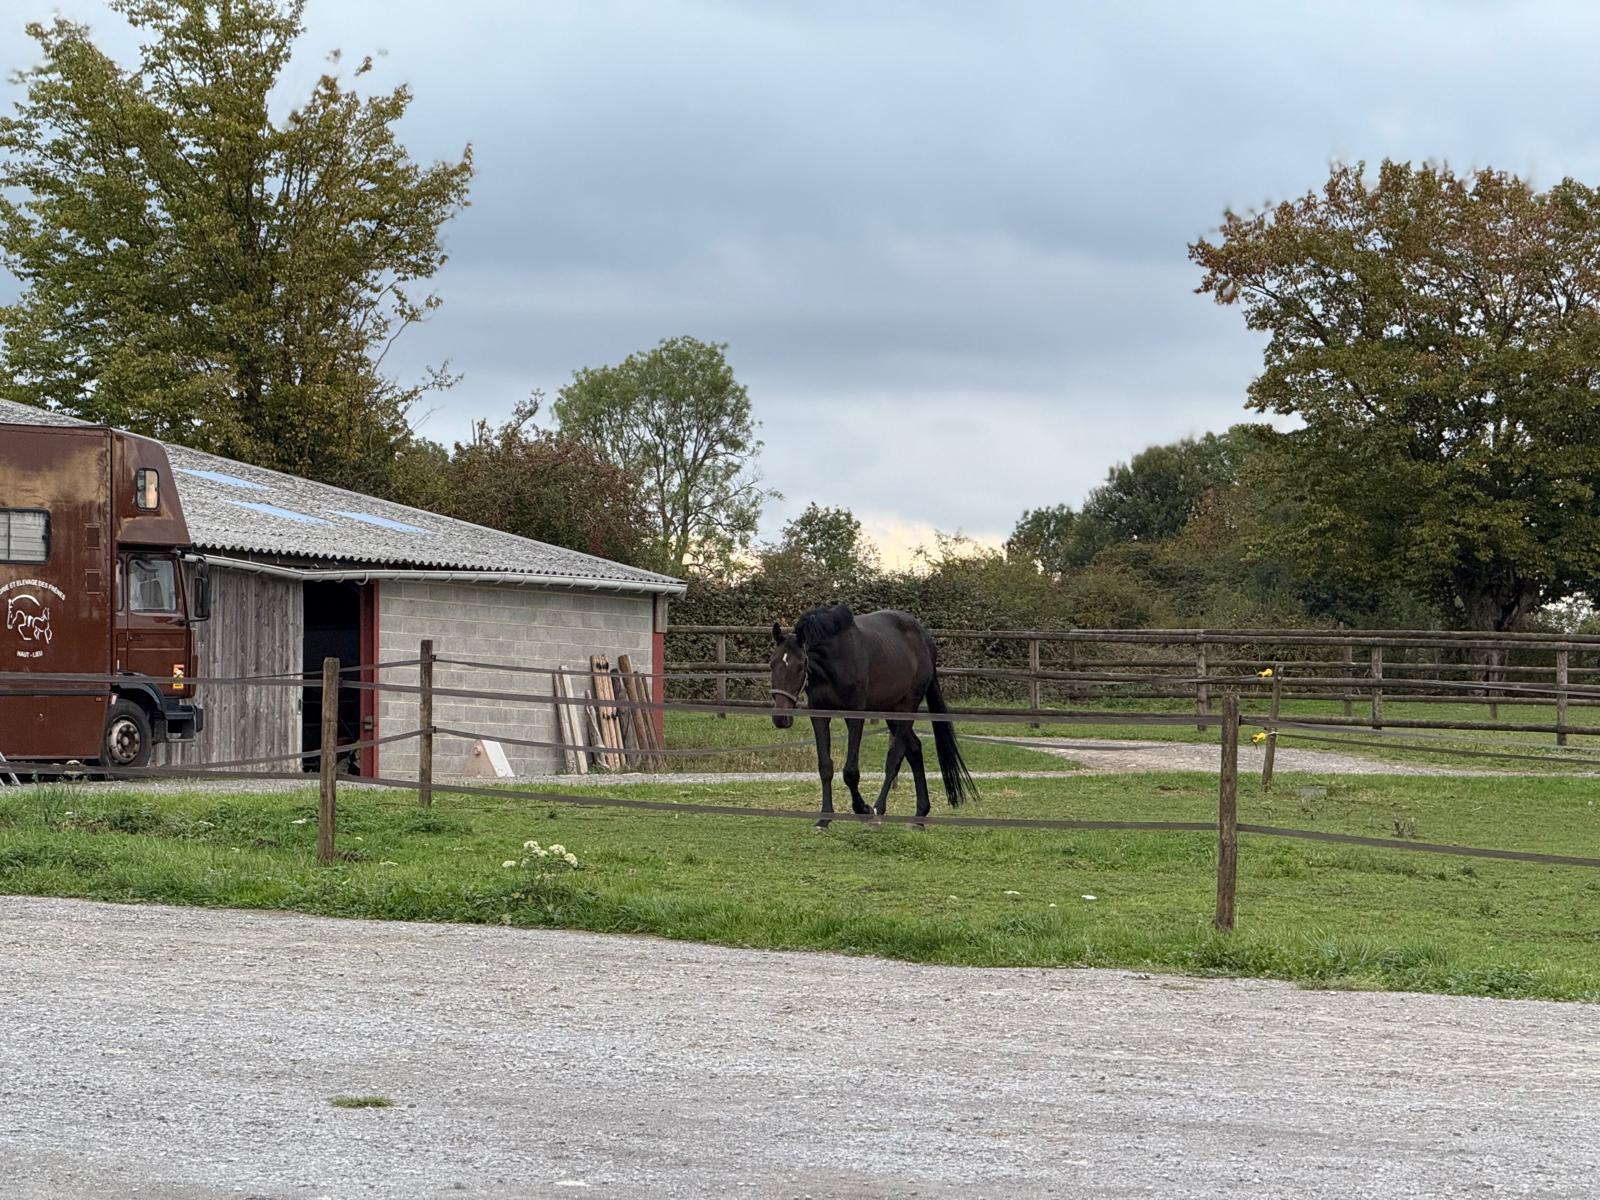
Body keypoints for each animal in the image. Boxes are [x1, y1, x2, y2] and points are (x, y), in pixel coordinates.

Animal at [768, 604, 977, 826]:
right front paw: (824, 818)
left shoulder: (855, 716)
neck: (835, 659)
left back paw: (878, 809)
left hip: (906, 708)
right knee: (914, 749)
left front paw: (863, 809)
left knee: (895, 757)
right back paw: (920, 815)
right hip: (891, 712)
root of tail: (927, 642)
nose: (780, 718)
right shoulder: (819, 715)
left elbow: (850, 772)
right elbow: (825, 766)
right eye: (772, 664)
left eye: (800, 666)